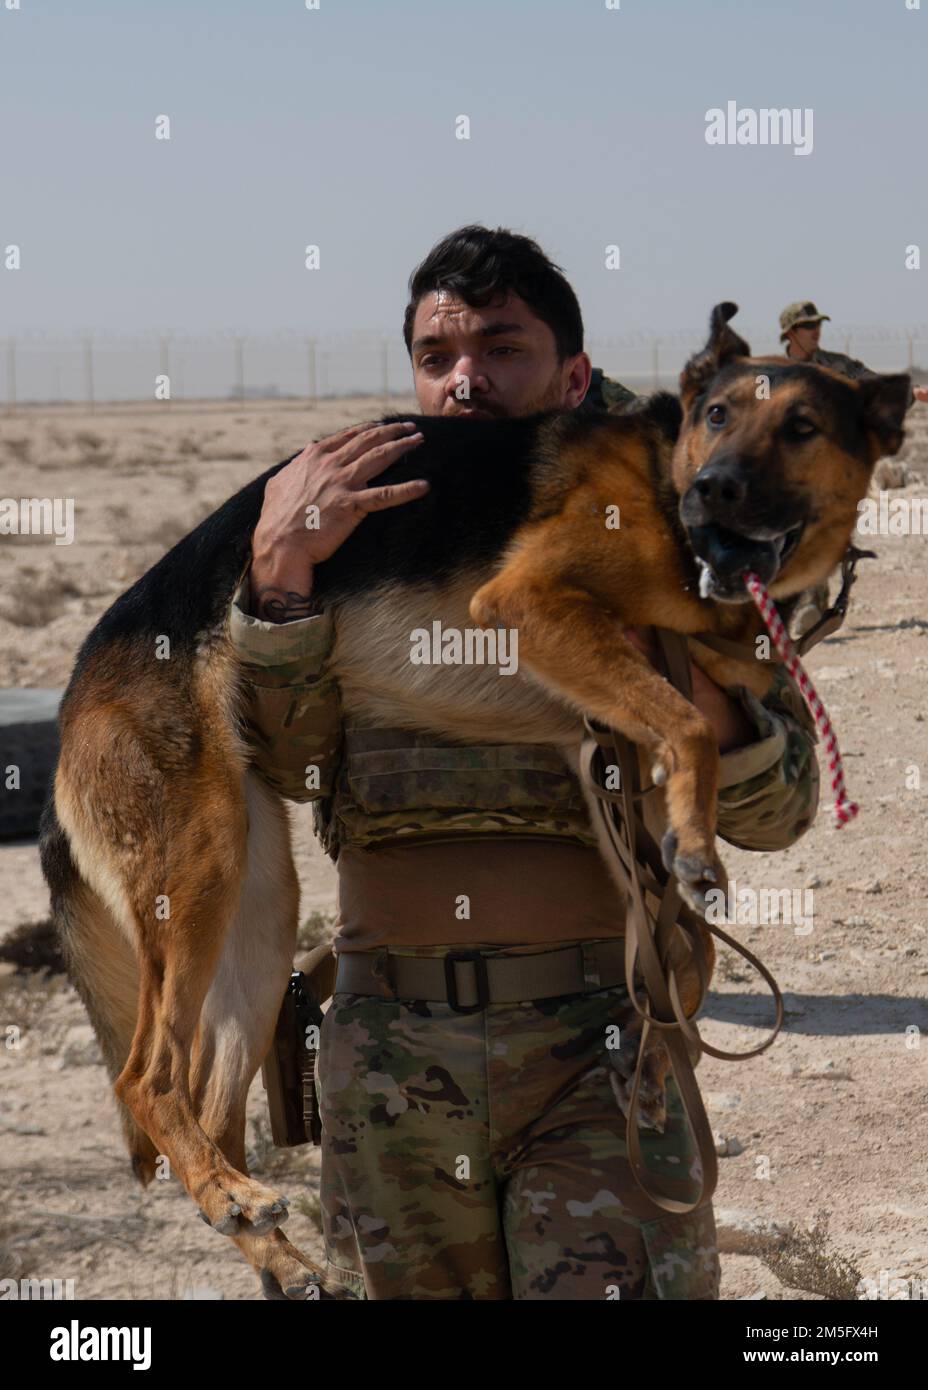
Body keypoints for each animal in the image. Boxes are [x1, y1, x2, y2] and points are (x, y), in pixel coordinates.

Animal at [39, 307, 911, 1301]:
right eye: (718, 413)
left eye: (801, 427)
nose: (714, 493)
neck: (662, 481)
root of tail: (74, 695)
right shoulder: (528, 603)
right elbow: (689, 723)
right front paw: (696, 849)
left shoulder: (635, 697)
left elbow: (732, 710)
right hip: (201, 864)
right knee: (146, 1077)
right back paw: (231, 1196)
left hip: (256, 909)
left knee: (211, 1098)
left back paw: (270, 1240)